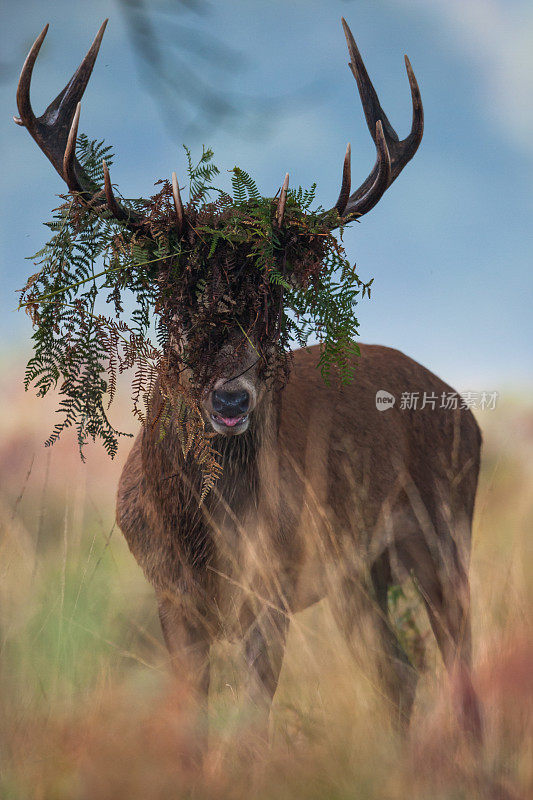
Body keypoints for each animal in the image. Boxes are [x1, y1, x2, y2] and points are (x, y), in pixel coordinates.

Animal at [16, 17, 482, 756]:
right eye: (177, 306)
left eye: (272, 310)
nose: (231, 400)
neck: (201, 535)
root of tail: (466, 410)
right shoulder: (172, 596)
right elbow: (192, 726)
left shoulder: (273, 587)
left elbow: (251, 731)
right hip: (359, 571)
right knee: (398, 674)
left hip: (443, 523)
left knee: (458, 662)